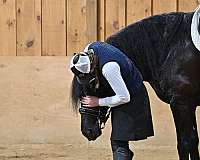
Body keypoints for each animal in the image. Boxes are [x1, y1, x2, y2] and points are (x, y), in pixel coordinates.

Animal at [70, 10, 200, 159]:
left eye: (92, 86)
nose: (87, 131)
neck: (171, 47)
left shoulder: (181, 104)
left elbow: (185, 143)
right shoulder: (189, 105)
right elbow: (194, 141)